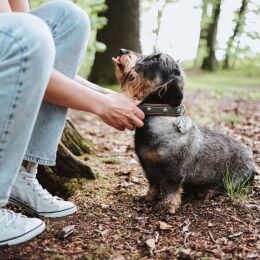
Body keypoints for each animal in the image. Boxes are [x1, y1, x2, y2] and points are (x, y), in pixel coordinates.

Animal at [111, 48, 256, 213]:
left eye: (155, 59)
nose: (121, 50)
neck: (159, 118)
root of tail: (252, 162)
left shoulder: (173, 170)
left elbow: (170, 188)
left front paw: (168, 205)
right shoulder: (147, 166)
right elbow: (153, 184)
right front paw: (149, 197)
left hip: (232, 182)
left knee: (224, 188)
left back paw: (208, 191)